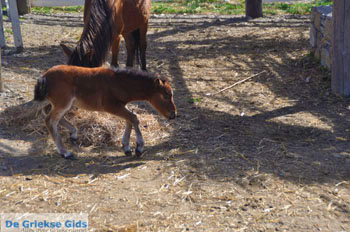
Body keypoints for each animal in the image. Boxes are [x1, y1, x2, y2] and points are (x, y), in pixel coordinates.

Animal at [34, 65, 176, 160]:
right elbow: (134, 118)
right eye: (166, 95)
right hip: (63, 103)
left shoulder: (121, 105)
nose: (173, 114)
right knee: (50, 120)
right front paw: (138, 148)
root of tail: (44, 77)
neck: (119, 83)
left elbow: (129, 119)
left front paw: (126, 147)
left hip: (61, 103)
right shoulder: (111, 106)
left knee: (52, 116)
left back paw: (73, 134)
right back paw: (65, 152)